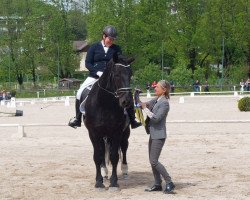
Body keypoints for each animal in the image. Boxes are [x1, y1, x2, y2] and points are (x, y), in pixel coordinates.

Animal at [83, 53, 135, 189]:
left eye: (130, 74)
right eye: (116, 74)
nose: (127, 101)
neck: (104, 104)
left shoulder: (116, 132)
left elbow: (114, 156)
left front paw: (114, 182)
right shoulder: (94, 133)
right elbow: (97, 156)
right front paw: (99, 182)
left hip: (124, 133)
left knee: (124, 147)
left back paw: (125, 170)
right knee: (102, 151)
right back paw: (104, 171)